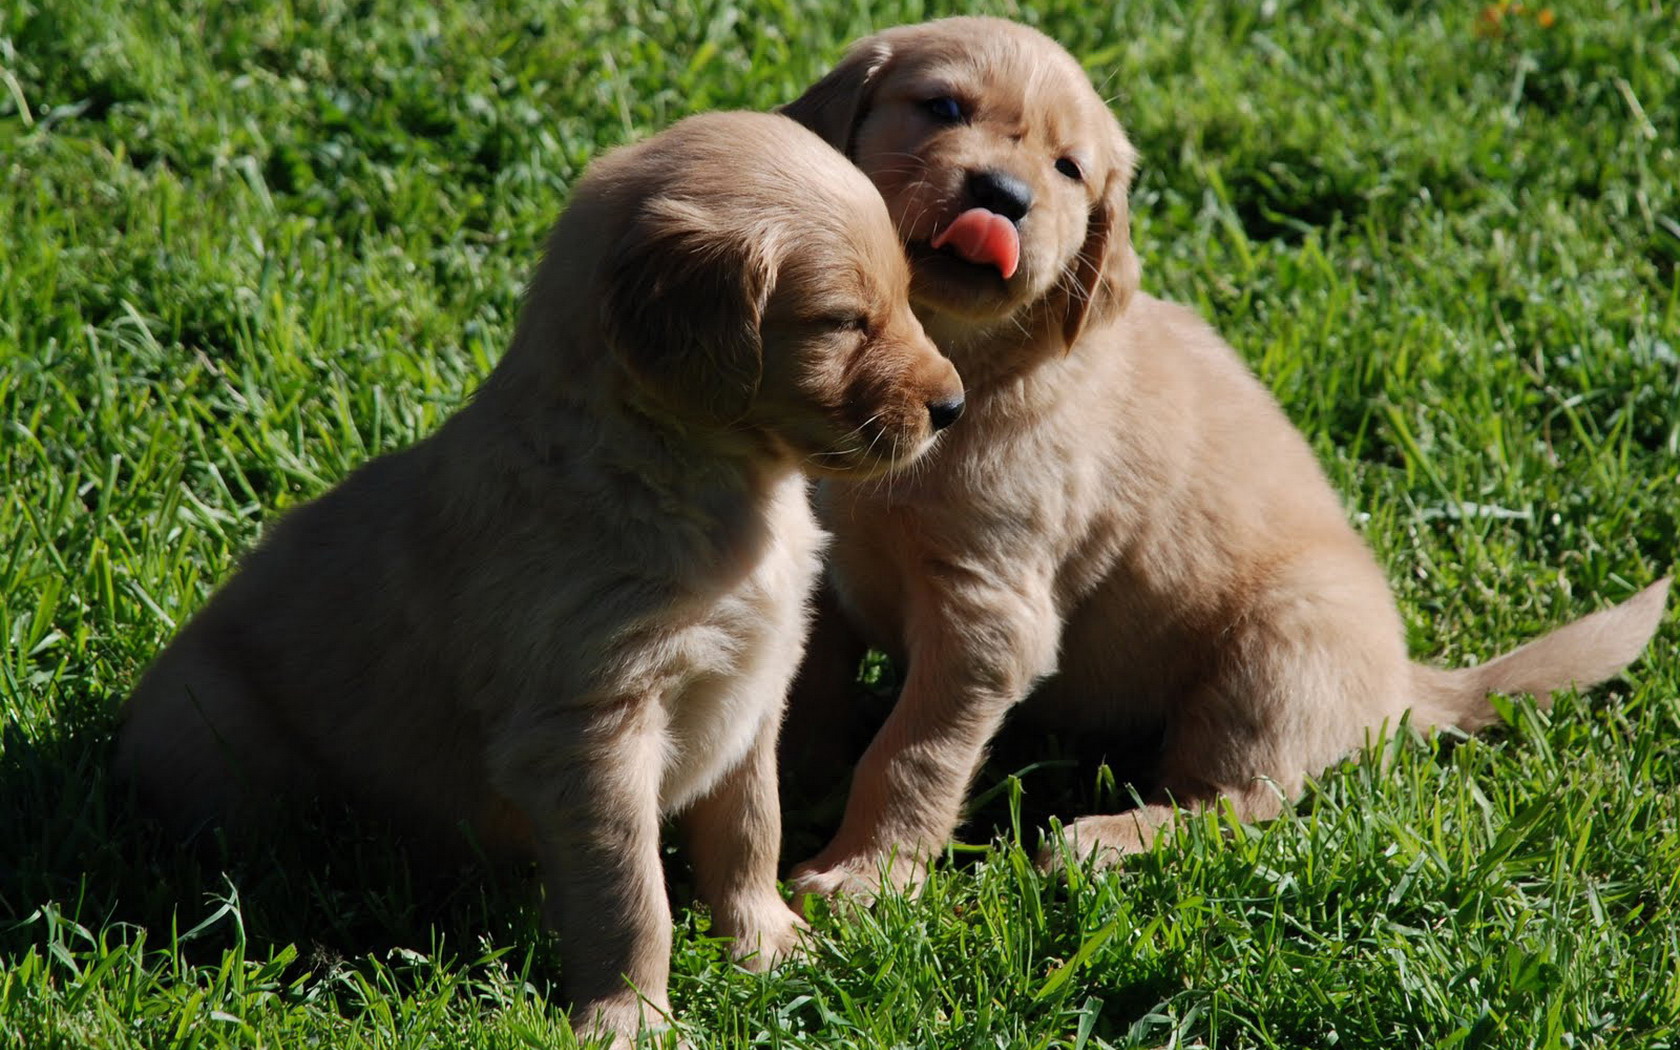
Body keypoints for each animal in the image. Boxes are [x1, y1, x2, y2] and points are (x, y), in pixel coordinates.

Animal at [115, 108, 960, 1041]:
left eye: (905, 296)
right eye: (844, 320)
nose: (953, 407)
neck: (695, 479)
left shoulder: (754, 692)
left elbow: (750, 831)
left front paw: (767, 943)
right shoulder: (588, 731)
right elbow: (630, 896)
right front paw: (631, 1020)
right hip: (211, 729)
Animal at [779, 18, 1673, 900]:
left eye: (1069, 169)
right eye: (942, 106)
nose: (1004, 196)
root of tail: (1403, 684)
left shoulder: (987, 613)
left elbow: (913, 753)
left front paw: (862, 873)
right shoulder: (818, 570)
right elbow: (803, 696)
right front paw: (788, 792)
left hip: (1271, 657)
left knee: (1232, 801)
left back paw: (1104, 841)